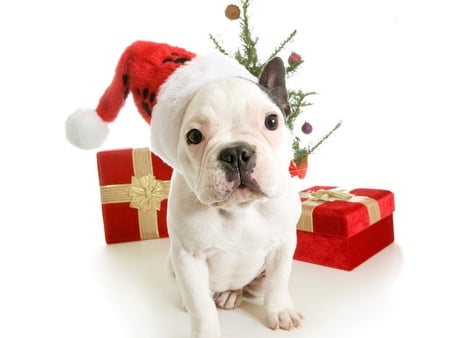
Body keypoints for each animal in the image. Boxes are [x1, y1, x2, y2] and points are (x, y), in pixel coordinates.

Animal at [151, 56, 302, 336]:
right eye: (194, 136)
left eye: (272, 122)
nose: (236, 153)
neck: (239, 210)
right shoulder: (188, 259)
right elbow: (201, 307)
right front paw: (205, 332)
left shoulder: (284, 245)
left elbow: (278, 281)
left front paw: (281, 311)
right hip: (172, 267)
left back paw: (233, 294)